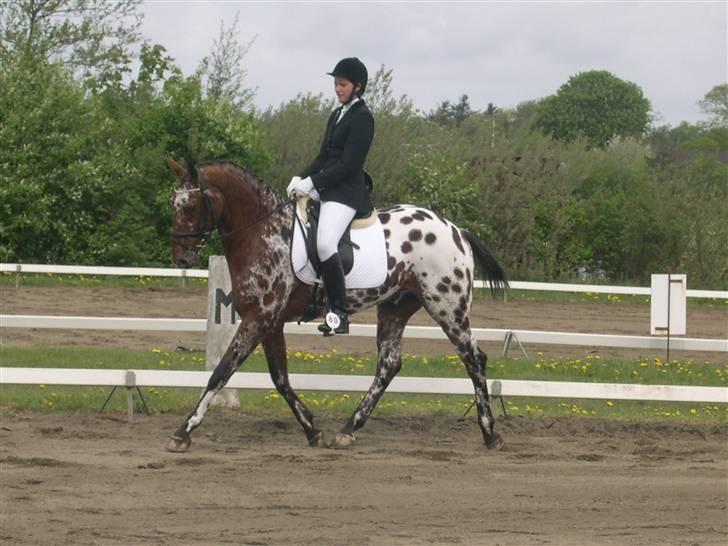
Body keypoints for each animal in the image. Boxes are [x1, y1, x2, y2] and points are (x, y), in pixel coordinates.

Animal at [166, 156, 510, 450]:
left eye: (192, 205)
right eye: (173, 204)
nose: (181, 258)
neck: (262, 232)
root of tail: (455, 230)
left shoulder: (259, 317)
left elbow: (222, 371)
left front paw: (183, 431)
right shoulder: (270, 322)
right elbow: (280, 379)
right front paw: (312, 429)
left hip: (447, 306)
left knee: (473, 358)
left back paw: (490, 432)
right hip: (395, 308)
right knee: (389, 364)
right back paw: (348, 429)